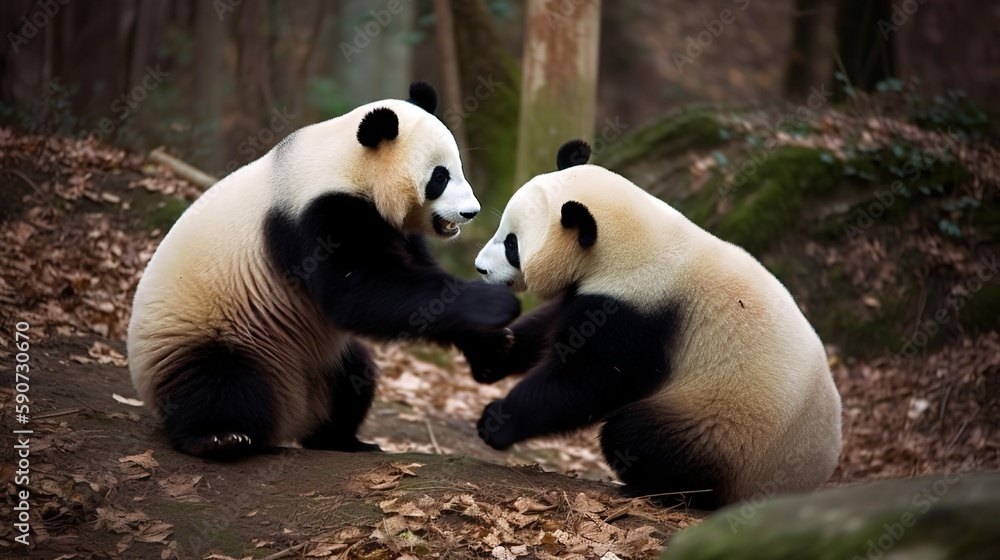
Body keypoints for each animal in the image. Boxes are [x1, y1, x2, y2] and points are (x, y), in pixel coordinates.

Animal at [127, 83, 519, 459]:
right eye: (440, 177)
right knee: (218, 382)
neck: (345, 162)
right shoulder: (315, 212)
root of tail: (291, 413)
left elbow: (414, 283)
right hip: (211, 332)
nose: (470, 212)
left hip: (318, 357)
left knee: (353, 377)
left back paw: (341, 439)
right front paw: (493, 304)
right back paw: (217, 437)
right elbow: (359, 289)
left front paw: (491, 347)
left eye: (458, 169)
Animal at [471, 139, 842, 509]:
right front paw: (492, 352)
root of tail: (803, 483)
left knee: (638, 436)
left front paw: (496, 421)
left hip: (726, 426)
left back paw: (661, 488)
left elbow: (584, 382)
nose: (480, 269)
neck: (631, 239)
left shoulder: (642, 305)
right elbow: (552, 327)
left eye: (512, 244)